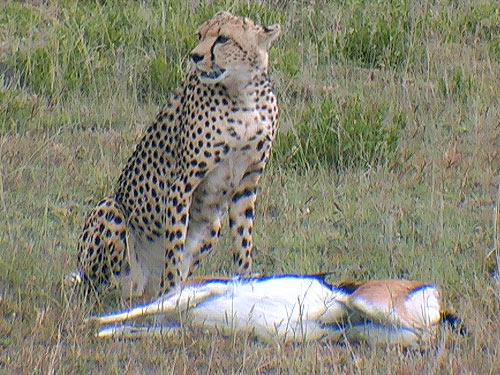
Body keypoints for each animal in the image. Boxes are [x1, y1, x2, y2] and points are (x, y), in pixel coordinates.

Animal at [69, 11, 282, 300]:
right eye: (200, 35)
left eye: (223, 38)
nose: (195, 56)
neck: (242, 95)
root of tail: (143, 287)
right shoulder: (182, 183)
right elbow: (175, 244)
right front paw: (170, 295)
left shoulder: (247, 183)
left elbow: (242, 239)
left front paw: (246, 286)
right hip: (110, 210)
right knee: (105, 287)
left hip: (212, 225)